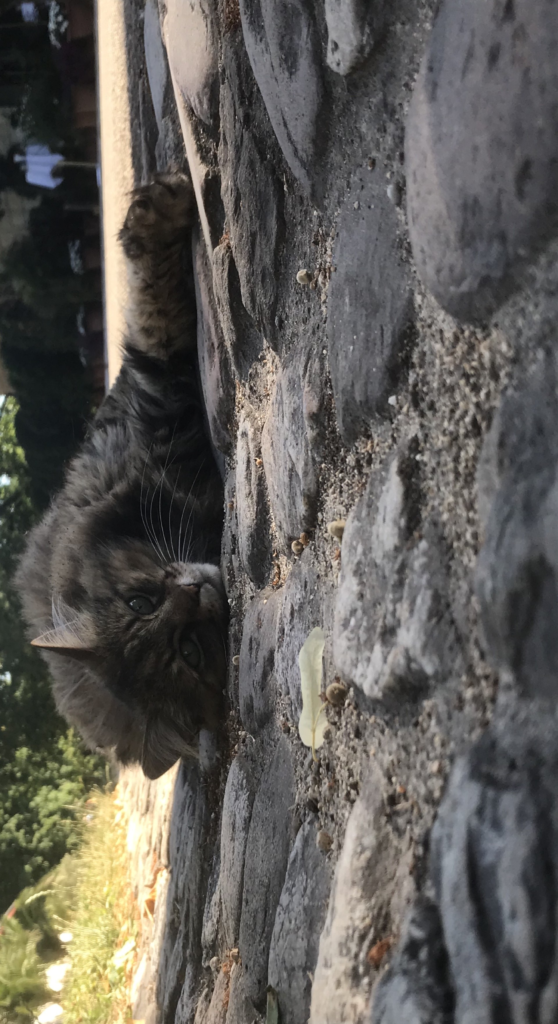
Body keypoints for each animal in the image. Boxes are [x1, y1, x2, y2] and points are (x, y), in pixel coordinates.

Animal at [16, 173, 228, 780]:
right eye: (189, 651)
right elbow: (155, 312)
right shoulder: (158, 383)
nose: (194, 589)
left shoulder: (144, 394)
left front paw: (160, 203)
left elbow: (146, 299)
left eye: (139, 603)